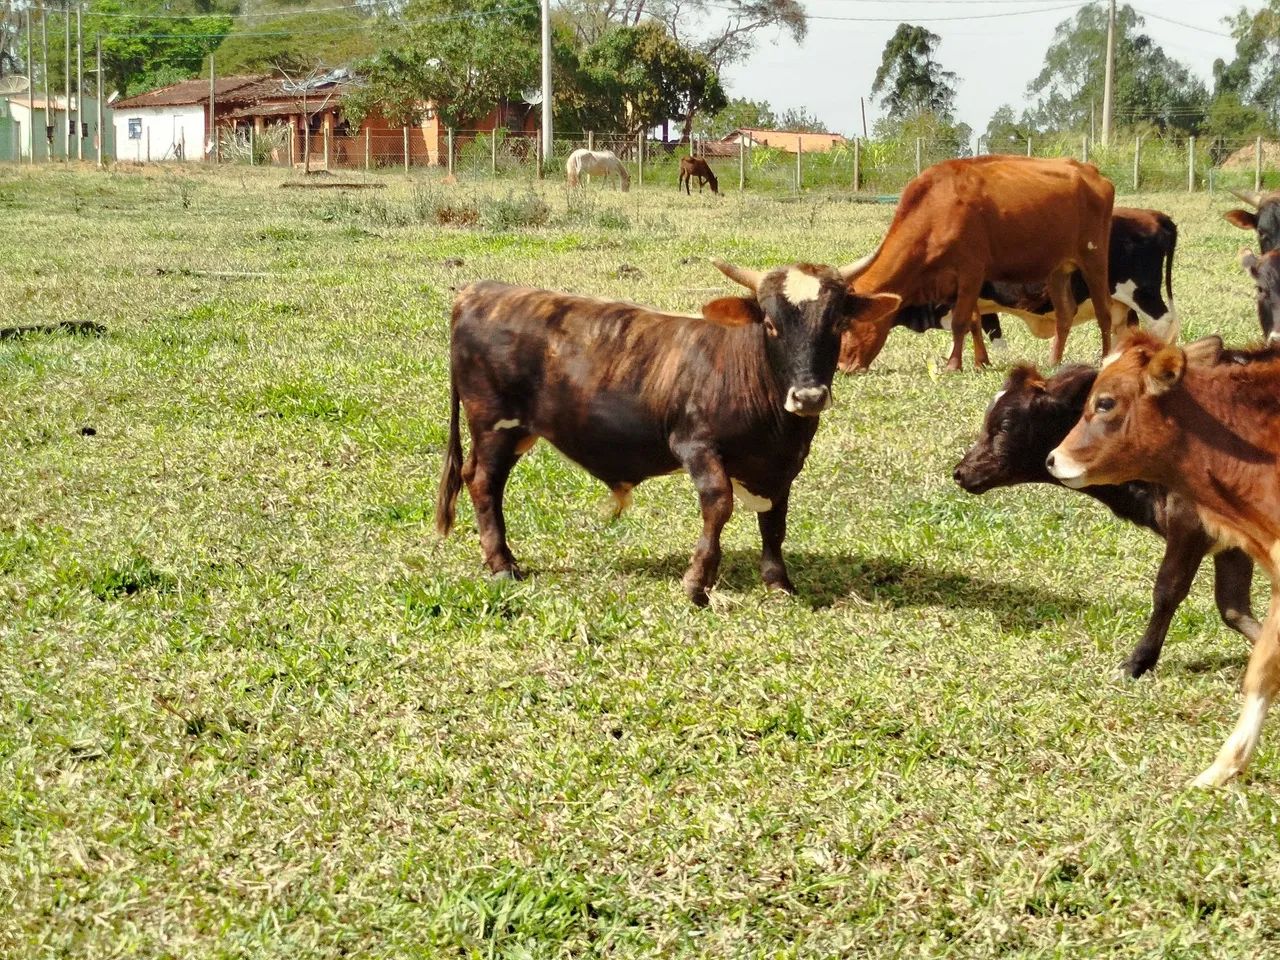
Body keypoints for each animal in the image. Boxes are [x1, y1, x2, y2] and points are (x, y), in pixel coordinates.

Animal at [435, 263, 900, 605]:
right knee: (483, 482)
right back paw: (502, 564)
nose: (808, 396)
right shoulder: (695, 444)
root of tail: (477, 291)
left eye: (837, 322)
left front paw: (778, 582)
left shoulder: (781, 468)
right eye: (770, 324)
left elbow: (775, 522)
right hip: (494, 424)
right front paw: (697, 582)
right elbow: (719, 505)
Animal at [839, 155, 1115, 372]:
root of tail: (1090, 170)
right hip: (1057, 269)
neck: (936, 208)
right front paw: (981, 361)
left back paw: (1105, 359)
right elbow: (974, 320)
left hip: (1095, 259)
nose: (842, 367)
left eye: (847, 323)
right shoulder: (959, 282)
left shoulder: (971, 271)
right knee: (1065, 313)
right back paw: (1054, 362)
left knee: (1104, 312)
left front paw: (953, 365)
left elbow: (960, 321)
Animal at [954, 363, 1258, 678]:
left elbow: (1168, 591)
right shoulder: (1232, 542)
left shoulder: (1189, 526)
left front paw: (1137, 661)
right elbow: (1234, 607)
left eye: (1005, 424)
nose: (960, 472)